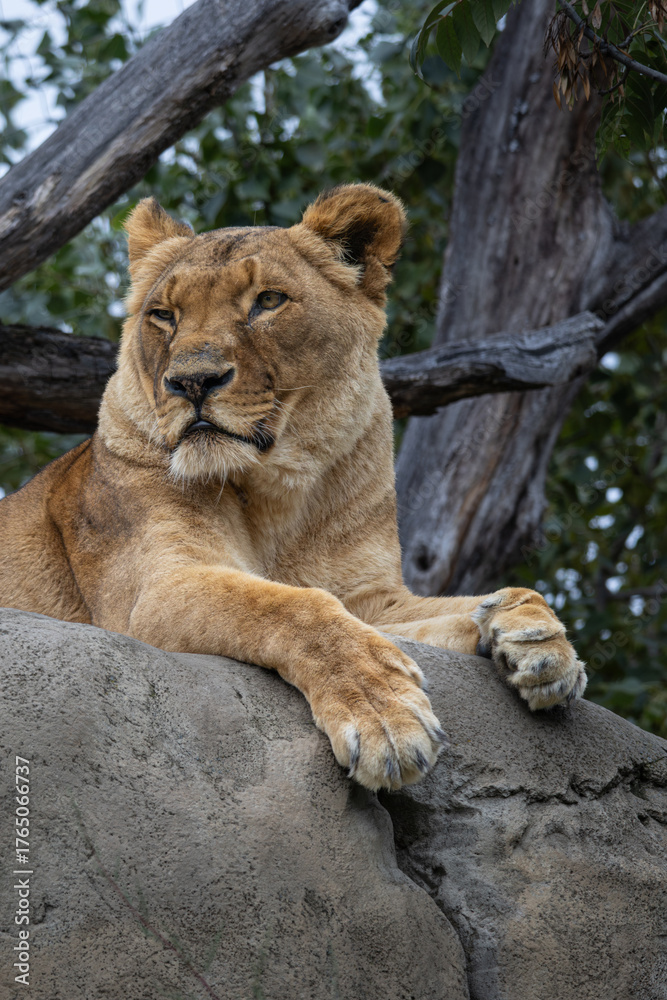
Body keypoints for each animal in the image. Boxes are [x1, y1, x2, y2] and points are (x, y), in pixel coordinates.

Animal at [0, 183, 586, 790]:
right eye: (163, 315)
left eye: (267, 301)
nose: (191, 381)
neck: (282, 490)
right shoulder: (156, 589)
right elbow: (294, 607)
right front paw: (383, 715)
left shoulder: (373, 597)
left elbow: (456, 609)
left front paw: (534, 638)